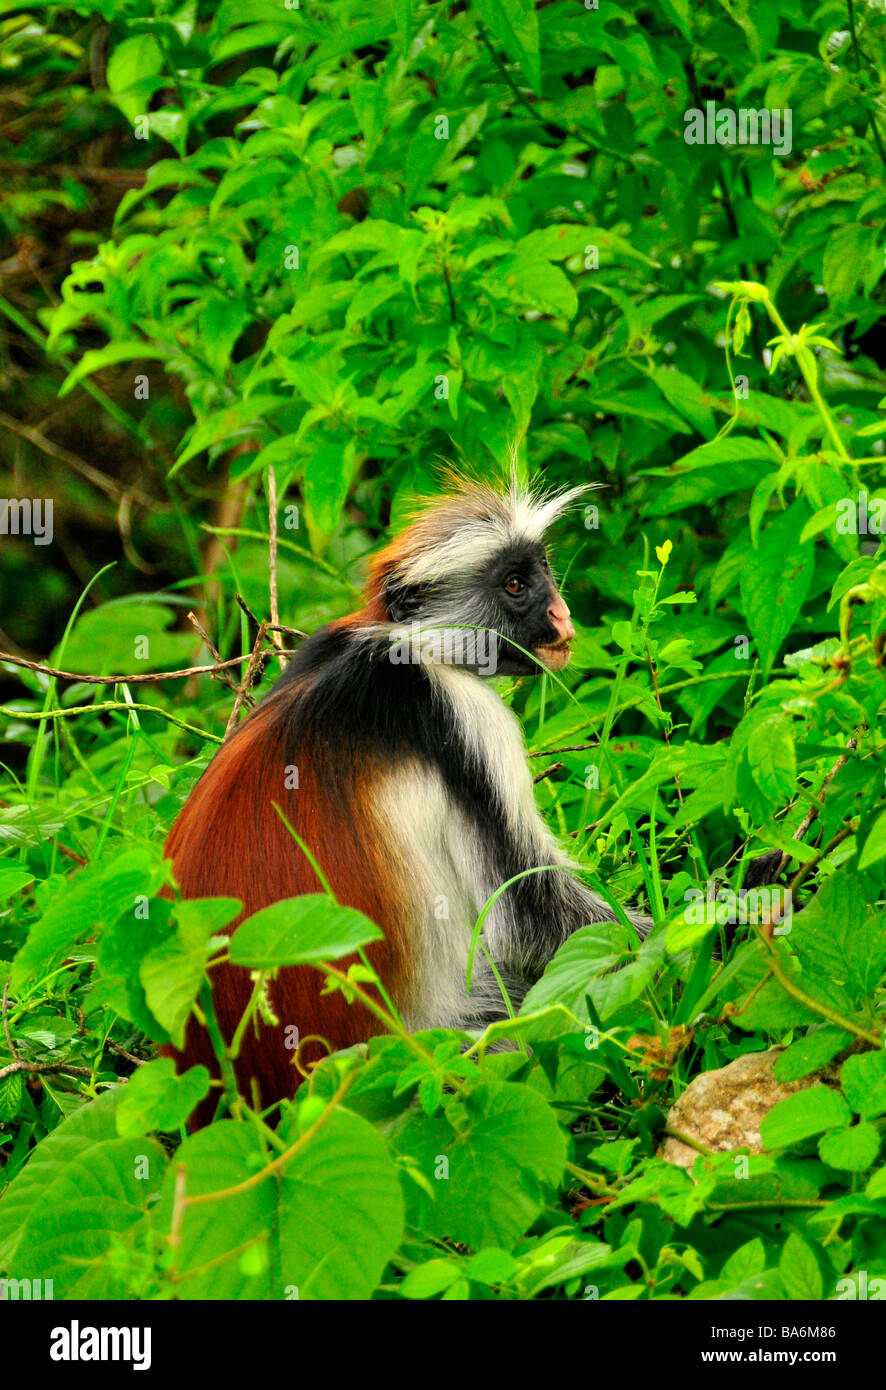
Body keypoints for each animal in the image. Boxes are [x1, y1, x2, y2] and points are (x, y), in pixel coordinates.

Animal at [164, 483, 642, 1112]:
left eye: (540, 570)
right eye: (515, 586)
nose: (560, 614)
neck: (404, 645)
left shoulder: (324, 642)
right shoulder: (463, 716)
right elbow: (533, 921)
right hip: (435, 1051)